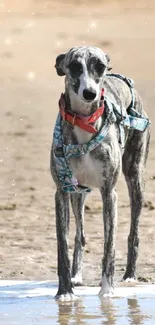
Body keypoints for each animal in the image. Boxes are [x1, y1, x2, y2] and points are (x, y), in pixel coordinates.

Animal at [50, 45, 150, 298]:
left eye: (100, 66)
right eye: (74, 66)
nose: (90, 94)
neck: (83, 121)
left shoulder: (108, 192)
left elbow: (109, 244)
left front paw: (107, 291)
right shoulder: (62, 191)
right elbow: (63, 244)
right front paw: (64, 292)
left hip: (135, 179)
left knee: (133, 233)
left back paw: (129, 275)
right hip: (78, 193)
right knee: (80, 234)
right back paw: (76, 276)